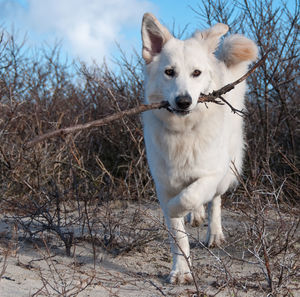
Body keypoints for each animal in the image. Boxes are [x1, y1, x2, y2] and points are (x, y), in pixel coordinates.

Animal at [141, 12, 258, 284]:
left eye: (196, 73)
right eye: (169, 72)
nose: (183, 101)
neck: (184, 132)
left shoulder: (211, 174)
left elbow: (188, 198)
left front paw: (179, 209)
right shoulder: (164, 182)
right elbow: (178, 235)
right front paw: (181, 271)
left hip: (227, 170)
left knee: (214, 201)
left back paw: (213, 233)